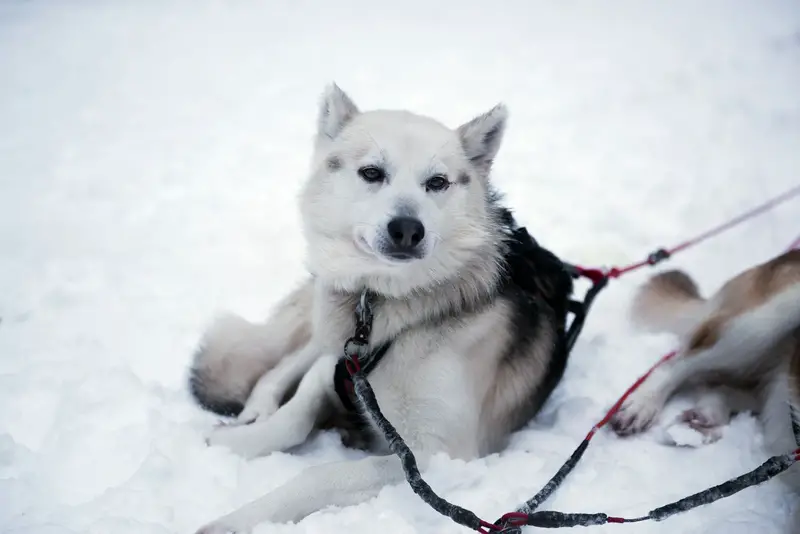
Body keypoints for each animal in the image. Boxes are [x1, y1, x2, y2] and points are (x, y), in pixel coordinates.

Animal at [188, 86, 576, 532]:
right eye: (372, 173)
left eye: (437, 182)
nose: (407, 229)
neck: (383, 311)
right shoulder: (336, 365)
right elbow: (293, 417)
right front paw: (238, 442)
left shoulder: (435, 457)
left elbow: (321, 473)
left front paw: (244, 517)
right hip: (322, 328)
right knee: (283, 363)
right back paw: (255, 410)